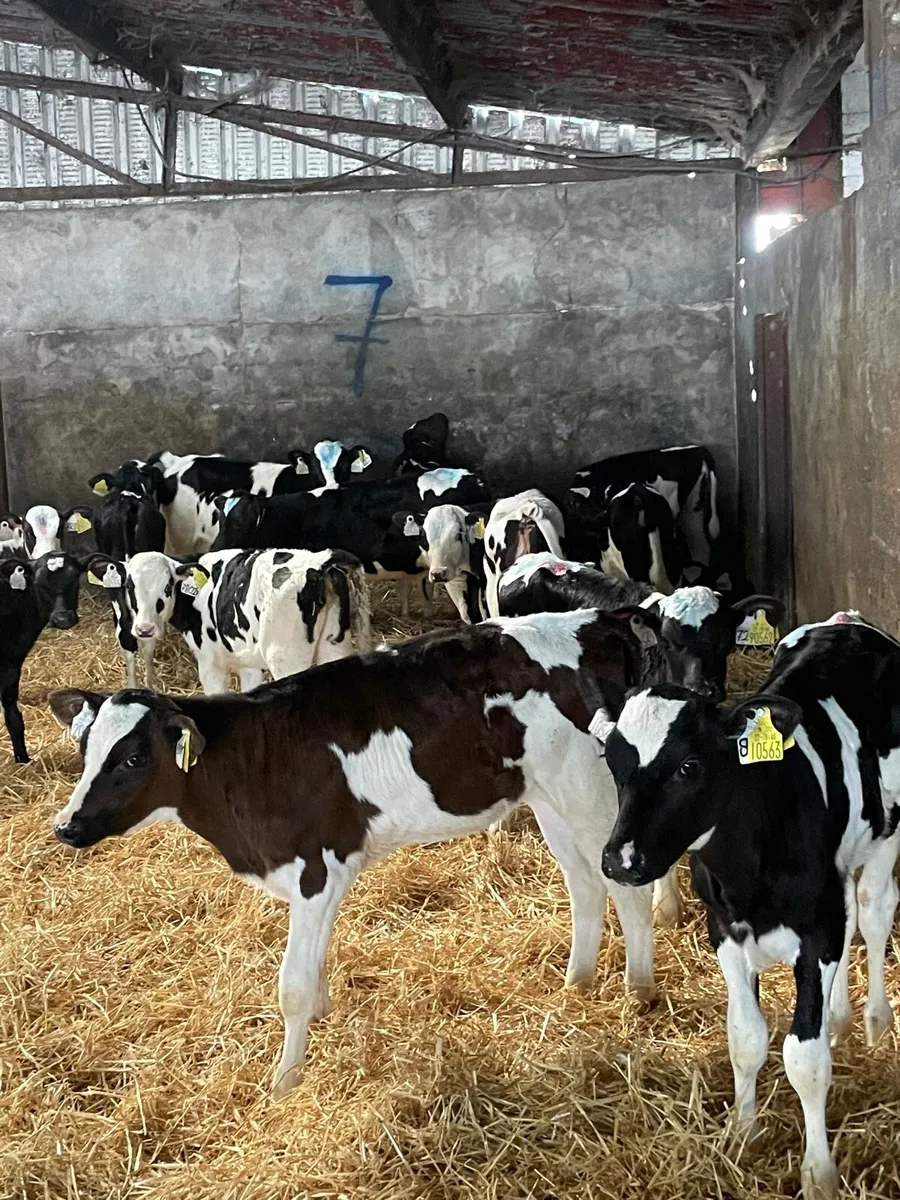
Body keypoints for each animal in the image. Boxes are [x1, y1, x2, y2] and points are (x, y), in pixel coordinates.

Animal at [50, 608, 658, 1097]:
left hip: (589, 790)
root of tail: (600, 619)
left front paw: (285, 1082)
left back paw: (638, 994)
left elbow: (293, 986)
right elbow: (315, 969)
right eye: (84, 749)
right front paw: (318, 1027)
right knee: (583, 883)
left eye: (133, 758)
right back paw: (576, 983)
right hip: (546, 796)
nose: (67, 826)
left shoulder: (317, 869)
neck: (252, 760)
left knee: (627, 887)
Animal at [86, 548, 371, 692]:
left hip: (287, 659)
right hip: (334, 649)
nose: (144, 629)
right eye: (129, 586)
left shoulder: (210, 665)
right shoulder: (248, 664)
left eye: (167, 586)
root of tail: (321, 562)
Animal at [595, 617, 900, 1200]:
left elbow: (805, 1058)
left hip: (888, 829)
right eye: (611, 762)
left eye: (688, 766)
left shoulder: (816, 931)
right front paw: (743, 1132)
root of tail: (849, 625)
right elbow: (745, 1037)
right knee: (854, 913)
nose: (619, 860)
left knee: (873, 912)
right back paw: (842, 1018)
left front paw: (818, 1172)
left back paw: (875, 1021)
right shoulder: (725, 930)